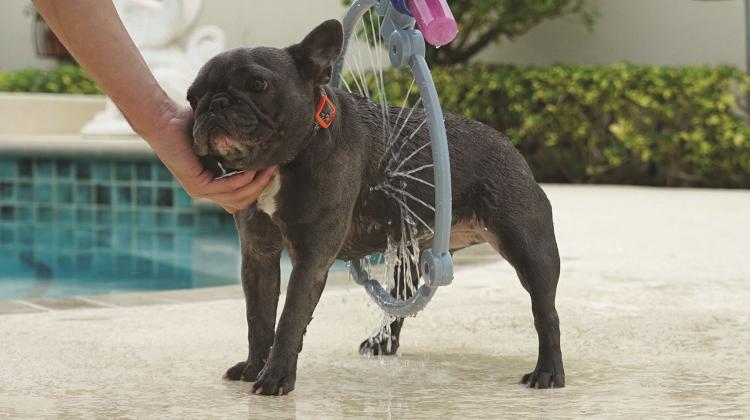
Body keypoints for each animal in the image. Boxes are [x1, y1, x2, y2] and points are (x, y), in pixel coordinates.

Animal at [188, 18, 564, 394]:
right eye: (192, 97)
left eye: (257, 84)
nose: (214, 104)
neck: (285, 160)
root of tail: (509, 145)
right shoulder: (259, 257)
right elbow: (258, 318)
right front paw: (254, 367)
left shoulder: (310, 260)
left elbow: (290, 319)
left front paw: (275, 377)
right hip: (410, 254)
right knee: (402, 298)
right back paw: (383, 343)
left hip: (530, 249)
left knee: (546, 313)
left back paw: (547, 373)